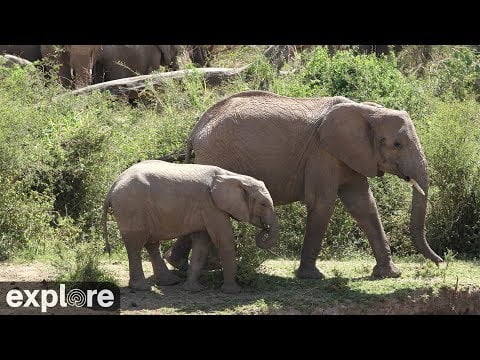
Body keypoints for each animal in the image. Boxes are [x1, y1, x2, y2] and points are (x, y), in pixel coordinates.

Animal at [103, 160, 280, 292]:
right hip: (131, 207)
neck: (234, 177)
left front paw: (194, 289)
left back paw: (170, 282)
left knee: (151, 243)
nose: (264, 229)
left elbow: (202, 243)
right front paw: (232, 291)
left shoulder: (207, 209)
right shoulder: (211, 206)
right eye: (263, 204)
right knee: (135, 244)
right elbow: (224, 240)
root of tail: (113, 185)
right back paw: (142, 288)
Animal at [165, 89, 442, 278]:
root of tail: (196, 129)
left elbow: (363, 204)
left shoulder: (351, 156)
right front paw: (311, 277)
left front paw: (389, 274)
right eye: (397, 144)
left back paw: (181, 264)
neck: (366, 110)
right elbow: (323, 203)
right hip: (217, 154)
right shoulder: (323, 154)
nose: (442, 262)